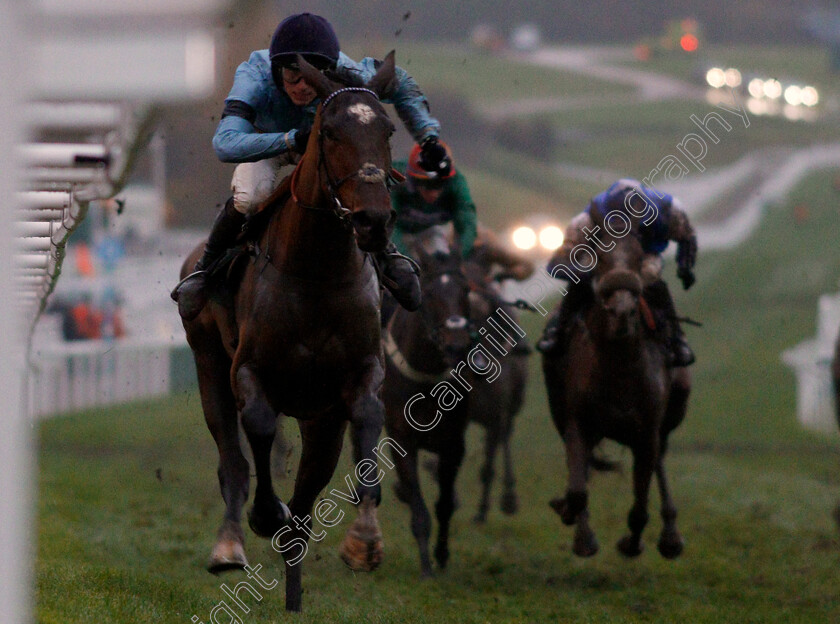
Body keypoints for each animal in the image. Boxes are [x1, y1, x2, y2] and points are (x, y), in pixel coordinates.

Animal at [178, 52, 400, 608]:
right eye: (331, 131)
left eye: (387, 130)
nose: (373, 221)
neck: (316, 271)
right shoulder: (249, 370)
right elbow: (257, 426)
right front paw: (263, 514)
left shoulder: (358, 376)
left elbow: (369, 421)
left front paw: (365, 540)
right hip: (207, 360)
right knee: (233, 460)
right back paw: (230, 544)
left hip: (321, 420)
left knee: (303, 503)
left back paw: (295, 592)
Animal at [380, 244, 472, 576]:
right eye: (431, 293)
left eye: (466, 290)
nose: (457, 344)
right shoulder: (402, 438)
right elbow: (419, 509)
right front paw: (426, 568)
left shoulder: (453, 442)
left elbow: (443, 505)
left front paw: (441, 556)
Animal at [544, 213, 688, 560]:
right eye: (601, 259)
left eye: (638, 258)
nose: (622, 310)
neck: (619, 368)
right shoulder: (578, 422)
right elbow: (578, 489)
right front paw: (579, 531)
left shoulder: (646, 432)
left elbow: (640, 509)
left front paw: (632, 543)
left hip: (673, 408)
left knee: (660, 459)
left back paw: (670, 536)